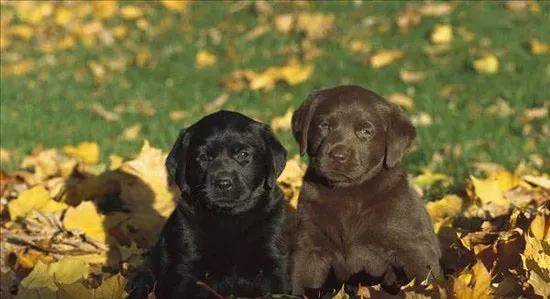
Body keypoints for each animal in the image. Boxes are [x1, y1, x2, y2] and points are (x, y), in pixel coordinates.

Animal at [149, 111, 292, 298]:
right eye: (203, 157)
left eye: (243, 154)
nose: (223, 183)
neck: (230, 218)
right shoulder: (189, 269)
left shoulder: (273, 263)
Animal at [294, 85, 444, 298]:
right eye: (324, 126)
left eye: (365, 131)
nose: (337, 156)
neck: (347, 193)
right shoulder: (310, 247)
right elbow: (301, 282)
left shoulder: (415, 248)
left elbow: (424, 279)